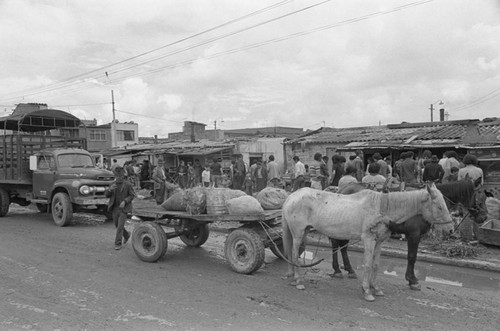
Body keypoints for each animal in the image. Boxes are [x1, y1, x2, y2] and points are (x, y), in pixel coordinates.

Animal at [282, 184, 454, 304]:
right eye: (439, 206)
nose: (451, 229)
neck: (383, 208)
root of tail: (292, 196)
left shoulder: (379, 242)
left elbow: (376, 265)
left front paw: (375, 288)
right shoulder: (369, 240)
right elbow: (368, 265)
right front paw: (366, 291)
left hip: (304, 232)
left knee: (292, 252)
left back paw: (293, 277)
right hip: (298, 233)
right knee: (294, 253)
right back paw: (298, 281)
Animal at [330, 179, 486, 290]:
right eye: (481, 197)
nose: (483, 218)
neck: (421, 208)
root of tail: (342, 189)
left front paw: (411, 279)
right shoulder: (414, 234)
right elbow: (412, 257)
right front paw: (413, 280)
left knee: (342, 246)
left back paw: (349, 269)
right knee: (337, 244)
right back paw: (338, 269)